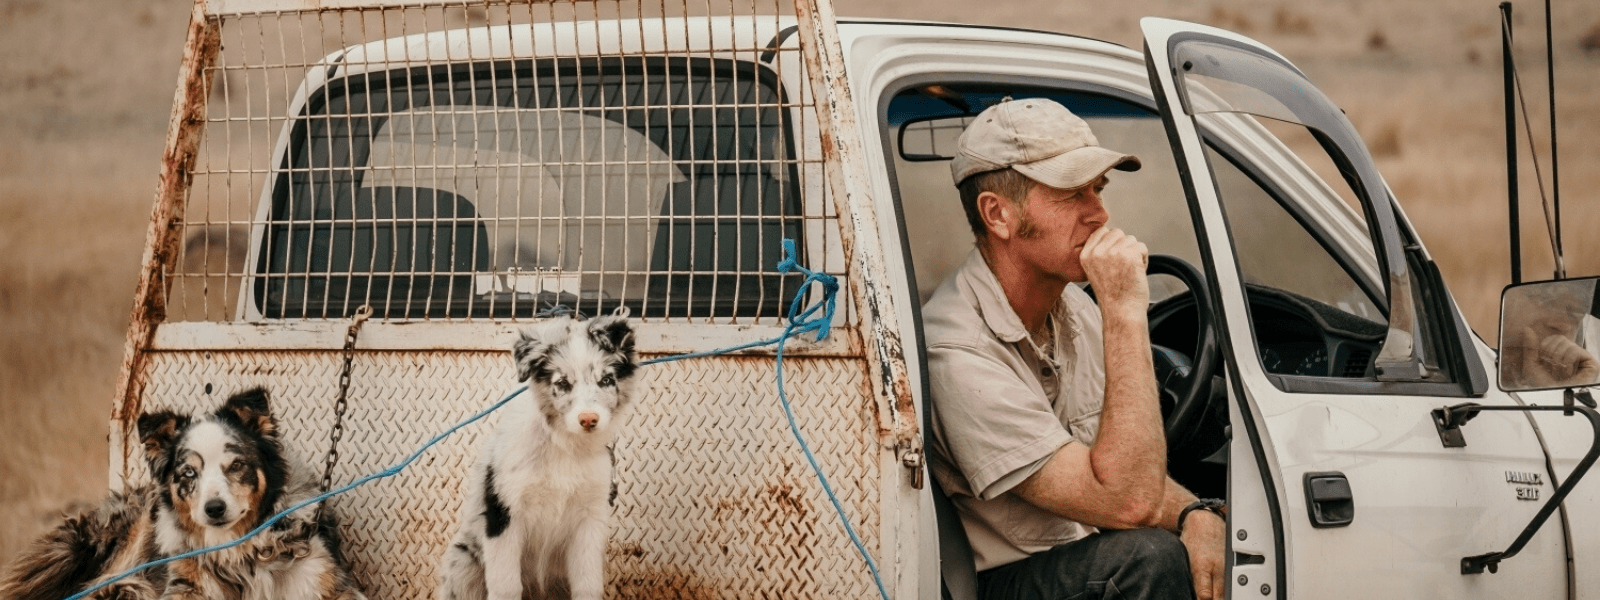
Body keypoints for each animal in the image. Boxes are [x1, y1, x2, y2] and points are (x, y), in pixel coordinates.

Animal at [441, 312, 640, 600]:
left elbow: (588, 583)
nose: (588, 420)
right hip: (462, 563)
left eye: (606, 381)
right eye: (562, 384)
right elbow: (505, 585)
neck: (563, 445)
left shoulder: (590, 520)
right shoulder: (504, 514)